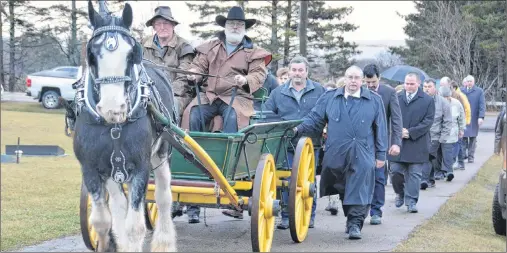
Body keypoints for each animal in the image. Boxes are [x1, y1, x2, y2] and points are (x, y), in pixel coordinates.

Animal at [72, 0, 178, 251]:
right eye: (91, 55)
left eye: (132, 54)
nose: (113, 108)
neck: (113, 125)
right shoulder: (91, 168)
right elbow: (102, 221)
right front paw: (107, 243)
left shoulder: (141, 167)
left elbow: (135, 227)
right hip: (113, 169)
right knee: (119, 208)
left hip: (162, 153)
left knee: (163, 197)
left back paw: (164, 241)